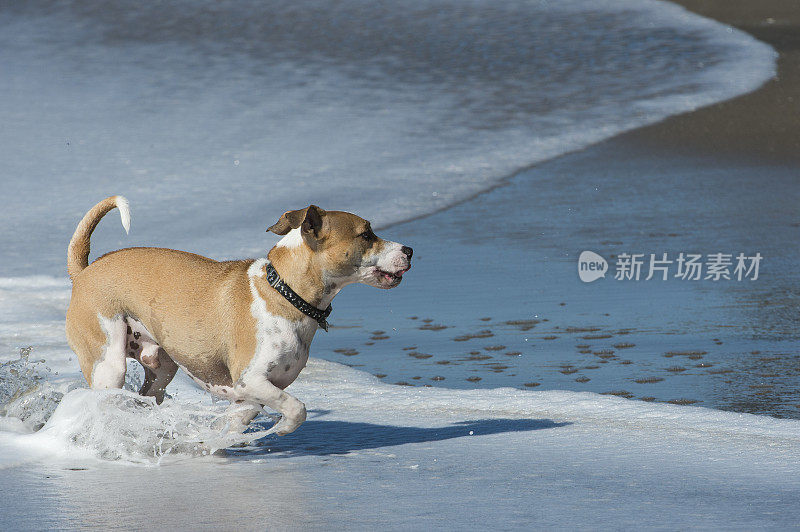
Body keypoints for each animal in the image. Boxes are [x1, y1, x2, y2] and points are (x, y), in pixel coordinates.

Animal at [65, 197, 412, 434]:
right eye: (366, 235)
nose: (409, 250)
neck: (283, 292)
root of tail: (83, 272)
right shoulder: (251, 381)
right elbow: (297, 409)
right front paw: (280, 430)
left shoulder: (248, 398)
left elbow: (231, 427)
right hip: (109, 365)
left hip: (162, 368)